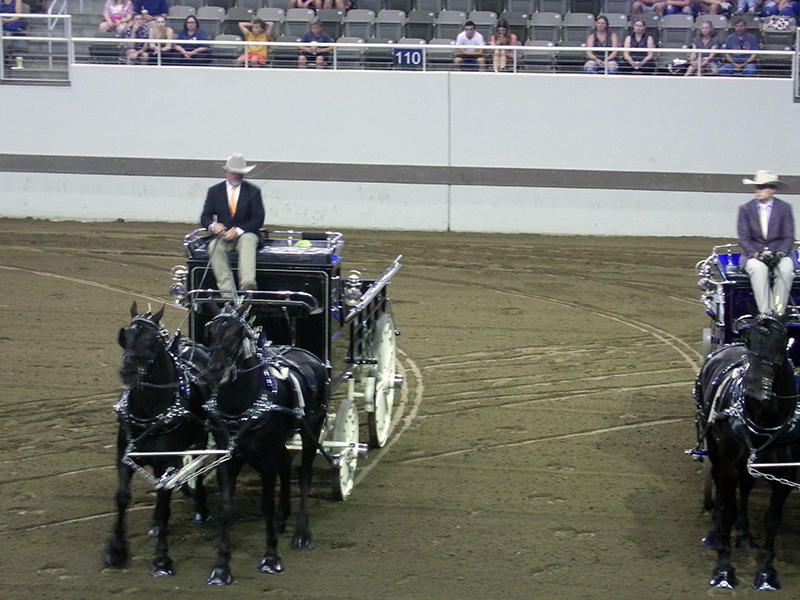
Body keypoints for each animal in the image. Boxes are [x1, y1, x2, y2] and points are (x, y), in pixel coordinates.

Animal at [104, 304, 214, 576]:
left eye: (153, 340)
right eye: (125, 336)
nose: (128, 372)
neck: (149, 411)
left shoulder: (167, 461)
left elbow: (165, 502)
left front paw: (162, 560)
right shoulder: (124, 458)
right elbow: (122, 497)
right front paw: (116, 551)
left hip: (204, 436)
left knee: (198, 468)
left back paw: (201, 509)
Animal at [203, 302, 328, 584]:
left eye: (237, 333)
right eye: (210, 330)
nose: (214, 371)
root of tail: (305, 353)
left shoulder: (266, 458)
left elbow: (266, 506)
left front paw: (271, 558)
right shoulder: (227, 458)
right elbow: (225, 510)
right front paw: (221, 568)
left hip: (313, 428)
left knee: (304, 474)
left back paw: (301, 533)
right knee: (286, 464)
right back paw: (284, 518)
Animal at [692, 314, 800, 592]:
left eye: (781, 343)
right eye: (752, 344)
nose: (755, 394)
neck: (764, 419)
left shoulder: (784, 474)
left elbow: (773, 519)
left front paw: (766, 574)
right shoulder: (729, 467)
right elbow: (726, 511)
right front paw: (723, 571)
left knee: (747, 488)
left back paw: (745, 533)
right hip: (715, 450)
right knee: (720, 489)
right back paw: (714, 533)